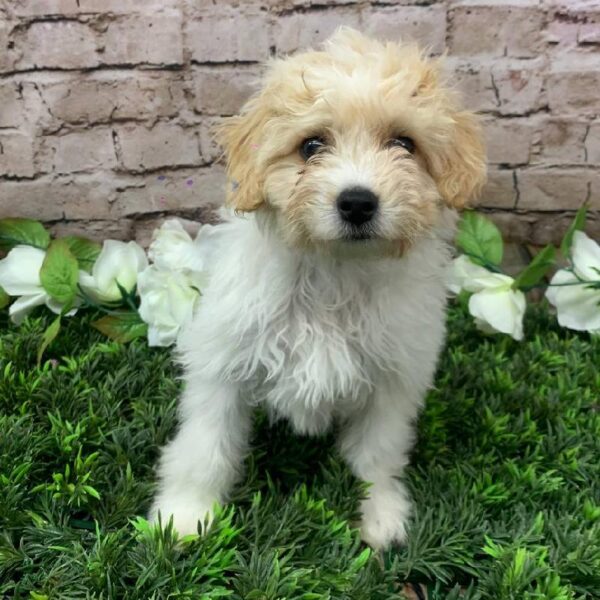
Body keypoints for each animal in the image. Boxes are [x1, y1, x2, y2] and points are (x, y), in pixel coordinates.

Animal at [151, 29, 488, 552]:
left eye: (404, 143)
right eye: (311, 146)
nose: (357, 202)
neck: (335, 271)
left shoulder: (393, 382)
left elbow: (377, 457)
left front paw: (381, 515)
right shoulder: (223, 364)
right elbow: (205, 446)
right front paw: (185, 516)